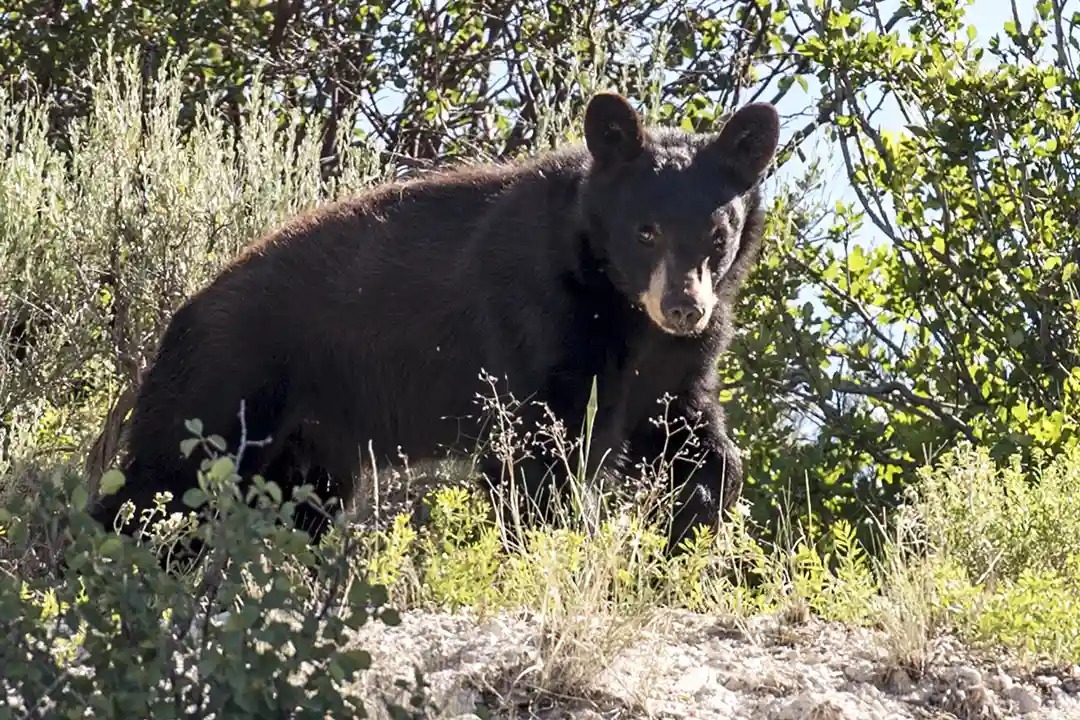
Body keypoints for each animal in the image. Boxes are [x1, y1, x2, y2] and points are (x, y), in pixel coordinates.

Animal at [88, 91, 780, 569]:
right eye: (646, 231)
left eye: (717, 234)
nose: (684, 308)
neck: (620, 305)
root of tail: (181, 314)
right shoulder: (539, 318)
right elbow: (534, 452)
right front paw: (542, 555)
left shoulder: (673, 365)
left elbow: (691, 439)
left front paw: (690, 536)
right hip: (227, 381)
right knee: (163, 481)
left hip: (309, 443)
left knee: (291, 505)